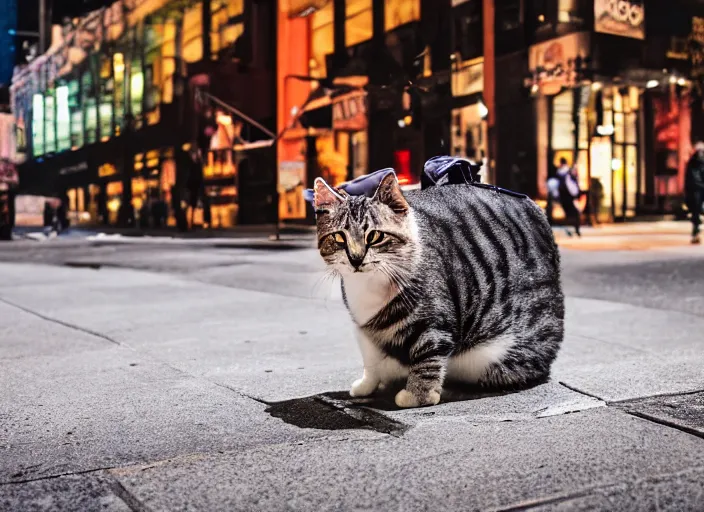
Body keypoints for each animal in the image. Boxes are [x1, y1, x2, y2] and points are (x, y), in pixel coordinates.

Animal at [314, 172, 568, 408]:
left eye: (375, 236)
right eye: (339, 237)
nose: (356, 259)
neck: (369, 286)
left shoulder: (434, 320)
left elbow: (428, 357)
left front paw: (418, 395)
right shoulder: (363, 327)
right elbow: (371, 358)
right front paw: (367, 384)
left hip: (495, 354)